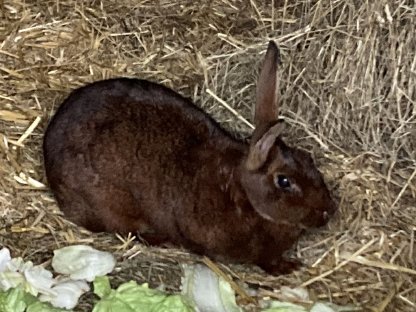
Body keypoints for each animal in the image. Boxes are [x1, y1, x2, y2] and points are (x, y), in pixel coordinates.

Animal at [43, 40, 334, 272]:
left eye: (309, 159)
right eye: (284, 181)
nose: (329, 212)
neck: (243, 195)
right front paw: (289, 267)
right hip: (110, 205)